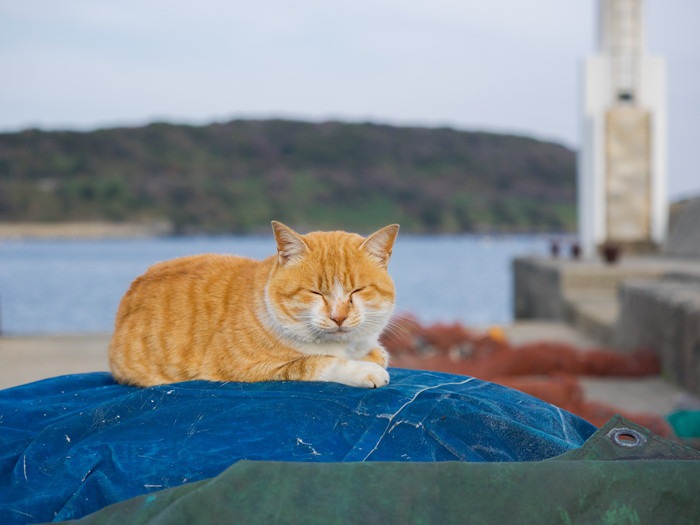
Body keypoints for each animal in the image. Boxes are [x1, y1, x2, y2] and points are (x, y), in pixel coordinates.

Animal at [109, 221, 400, 388]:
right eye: (315, 292)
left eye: (357, 290)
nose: (338, 317)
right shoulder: (249, 367)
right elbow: (318, 362)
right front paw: (366, 371)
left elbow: (379, 354)